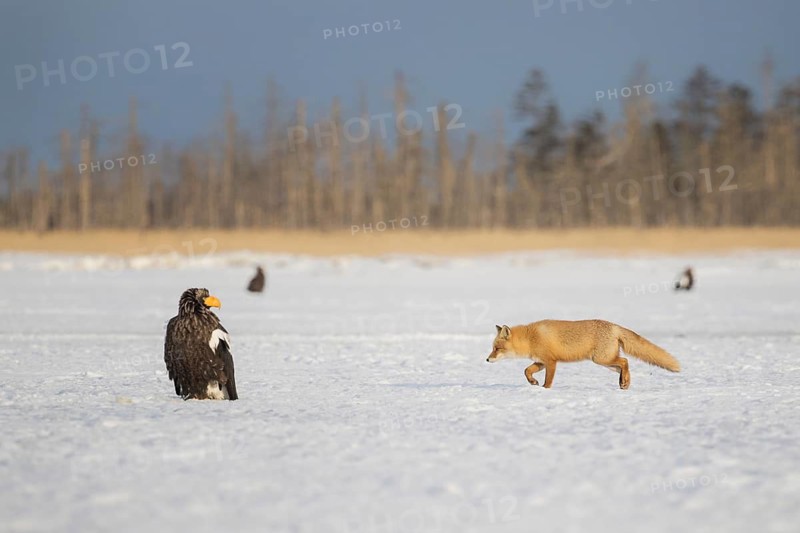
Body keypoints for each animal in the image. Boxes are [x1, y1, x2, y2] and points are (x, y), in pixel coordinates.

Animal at [485, 319, 680, 389]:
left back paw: (624, 383)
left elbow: (548, 381)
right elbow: (526, 371)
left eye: (497, 348)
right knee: (624, 365)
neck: (530, 338)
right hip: (606, 362)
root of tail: (614, 326)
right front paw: (533, 382)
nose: (487, 359)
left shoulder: (551, 362)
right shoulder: (540, 362)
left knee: (625, 361)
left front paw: (544, 390)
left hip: (601, 359)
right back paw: (624, 383)